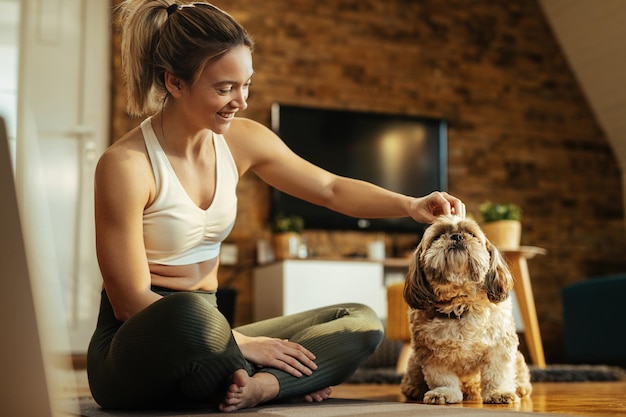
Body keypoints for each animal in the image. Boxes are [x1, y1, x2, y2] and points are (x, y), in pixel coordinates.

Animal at [400, 214, 532, 404]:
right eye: (437, 236)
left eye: (471, 233)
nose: (456, 236)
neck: (461, 303)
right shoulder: (432, 354)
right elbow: (443, 378)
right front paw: (443, 393)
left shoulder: (500, 346)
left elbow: (497, 373)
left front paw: (498, 392)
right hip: (413, 361)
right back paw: (413, 388)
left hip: (519, 357)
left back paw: (520, 387)